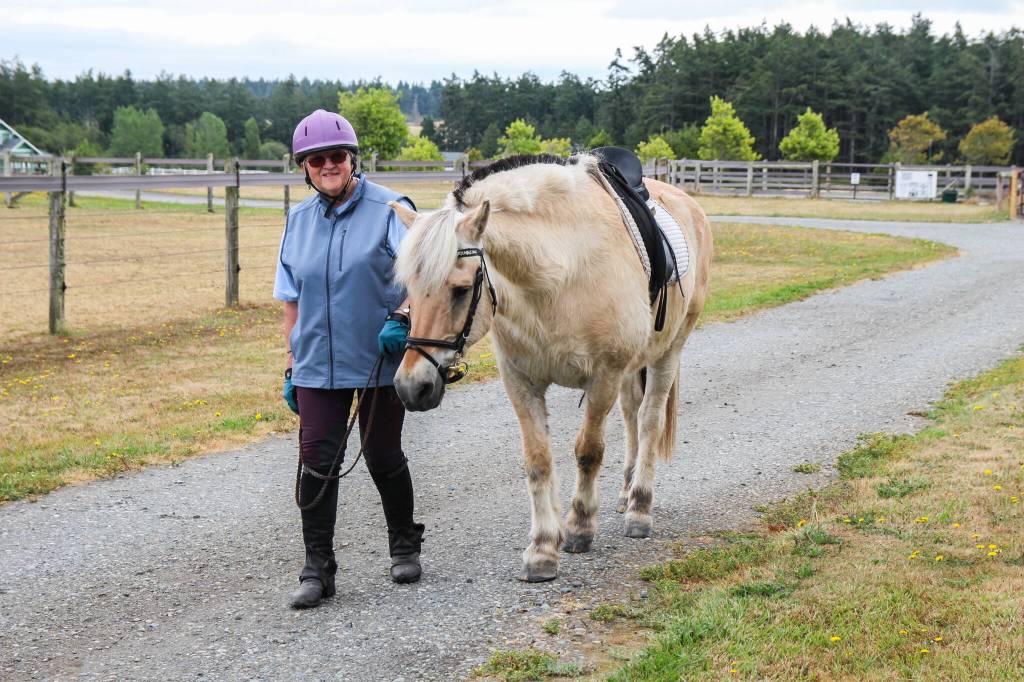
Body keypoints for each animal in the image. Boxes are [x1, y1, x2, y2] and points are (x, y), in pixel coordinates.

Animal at [388, 153, 712, 582]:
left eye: (460, 289)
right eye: (409, 288)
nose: (412, 386)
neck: (559, 273)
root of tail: (689, 203)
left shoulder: (603, 376)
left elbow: (588, 451)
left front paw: (578, 527)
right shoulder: (521, 381)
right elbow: (538, 461)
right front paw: (542, 549)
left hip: (668, 352)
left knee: (649, 420)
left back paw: (640, 507)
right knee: (631, 415)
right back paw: (626, 493)